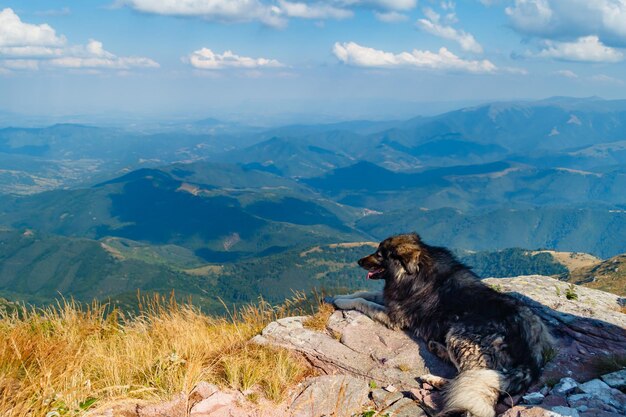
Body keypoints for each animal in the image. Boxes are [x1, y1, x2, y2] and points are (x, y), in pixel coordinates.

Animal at [326, 232, 552, 416]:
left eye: (381, 254)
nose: (358, 261)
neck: (415, 271)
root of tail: (531, 358)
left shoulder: (394, 316)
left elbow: (362, 301)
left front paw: (341, 302)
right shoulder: (391, 299)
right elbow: (364, 293)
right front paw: (336, 296)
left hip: (460, 335)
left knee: (467, 378)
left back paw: (433, 378)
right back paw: (436, 347)